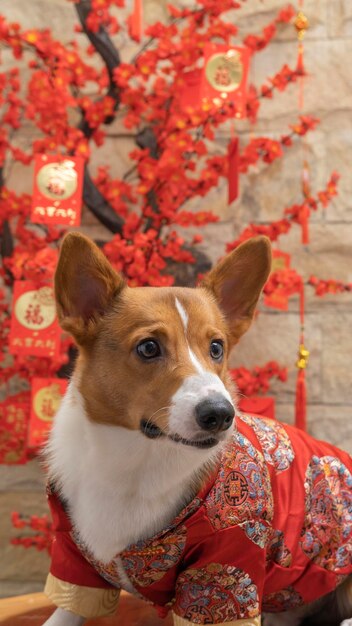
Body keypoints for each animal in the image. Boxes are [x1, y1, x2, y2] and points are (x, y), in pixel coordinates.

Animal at [42, 230, 350, 624]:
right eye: (148, 347)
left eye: (216, 347)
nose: (220, 414)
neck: (135, 462)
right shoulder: (73, 556)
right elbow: (67, 608)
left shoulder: (228, 560)